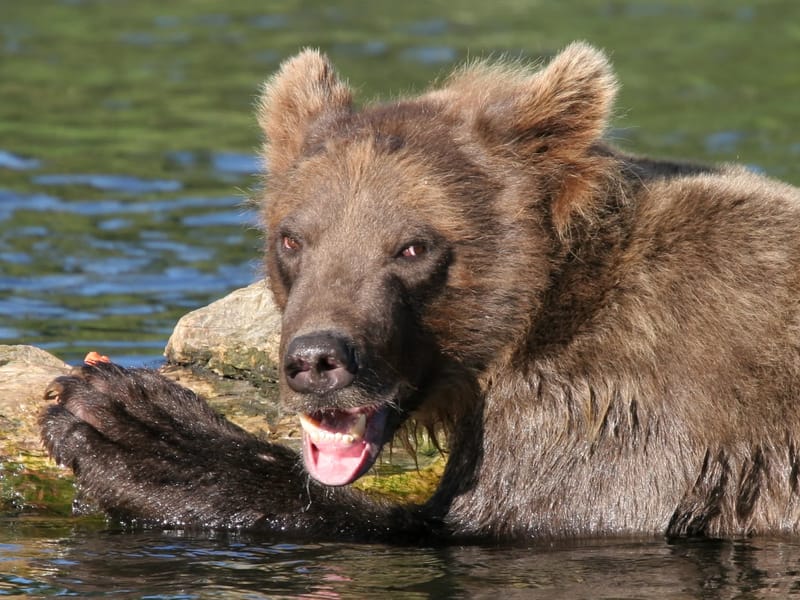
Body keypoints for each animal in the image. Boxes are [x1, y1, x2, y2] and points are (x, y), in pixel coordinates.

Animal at [40, 42, 800, 541]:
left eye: (412, 246)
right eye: (293, 238)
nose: (316, 360)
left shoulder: (629, 406)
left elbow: (477, 519)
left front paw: (126, 422)